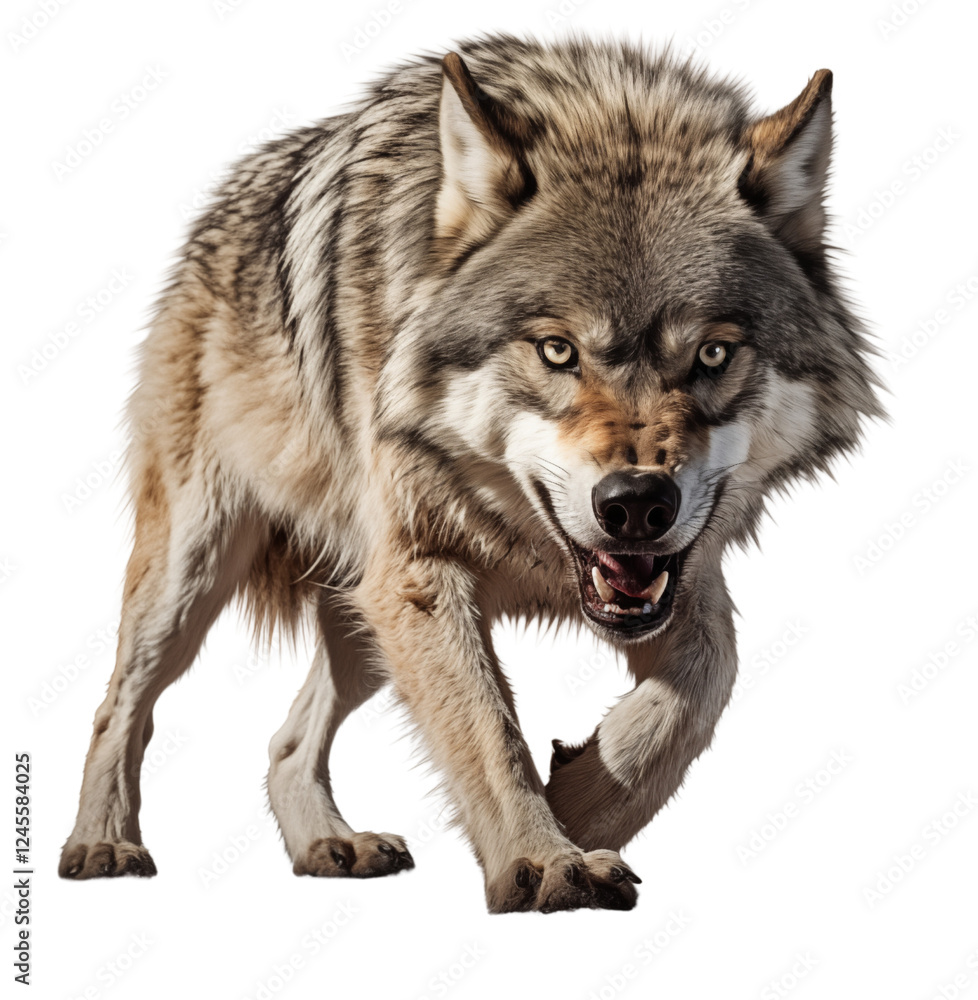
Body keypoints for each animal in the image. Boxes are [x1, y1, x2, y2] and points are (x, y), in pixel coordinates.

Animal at [59, 34, 882, 913]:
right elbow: (491, 734)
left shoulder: (681, 577)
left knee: (285, 738)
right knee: (119, 706)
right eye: (556, 350)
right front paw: (546, 857)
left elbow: (702, 689)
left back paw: (328, 844)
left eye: (714, 354)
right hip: (199, 570)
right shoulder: (423, 571)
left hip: (362, 617)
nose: (635, 504)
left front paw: (578, 806)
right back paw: (102, 842)